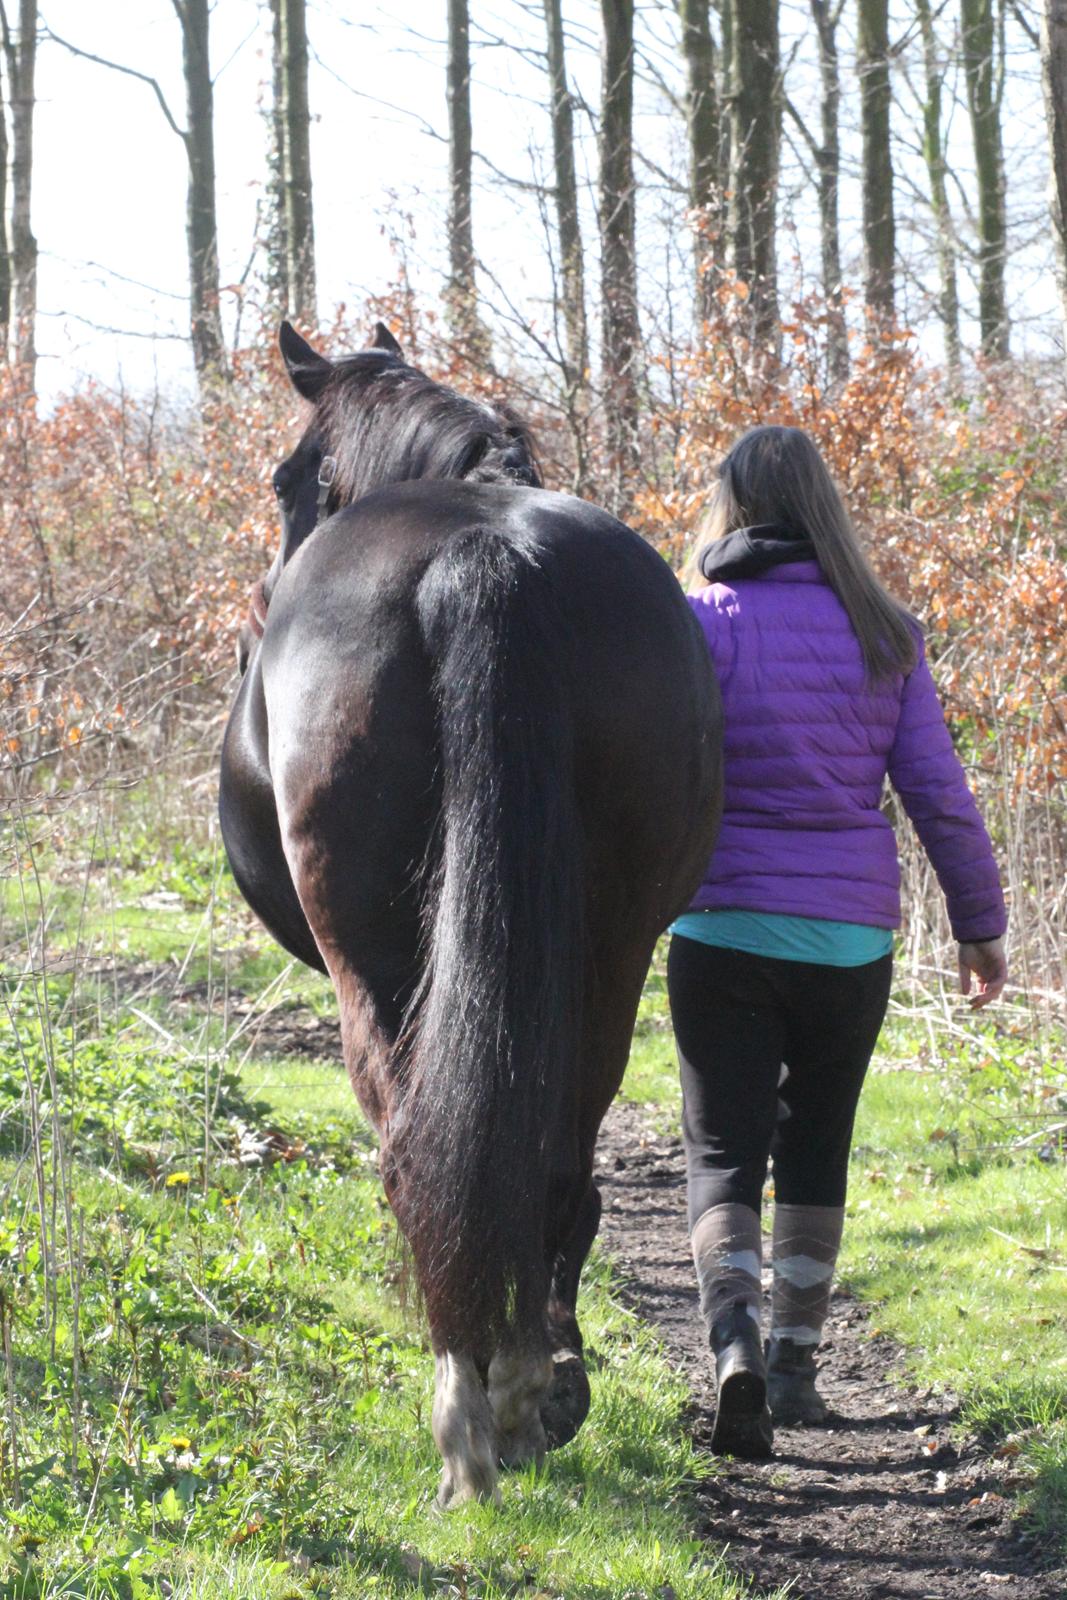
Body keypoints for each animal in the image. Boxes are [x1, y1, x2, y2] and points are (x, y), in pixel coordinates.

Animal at [217, 318, 726, 1504]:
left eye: (289, 480)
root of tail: (481, 558)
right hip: (609, 953)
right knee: (552, 1162)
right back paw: (532, 1391)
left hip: (373, 957)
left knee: (414, 1153)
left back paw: (466, 1419)